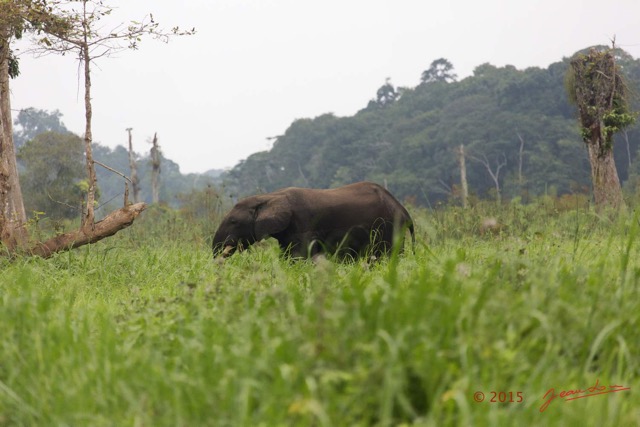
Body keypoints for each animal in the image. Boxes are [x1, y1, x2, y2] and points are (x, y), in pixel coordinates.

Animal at [212, 181, 418, 260]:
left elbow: (298, 257)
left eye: (234, 222)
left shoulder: (304, 225)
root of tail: (404, 211)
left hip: (389, 226)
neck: (269, 196)